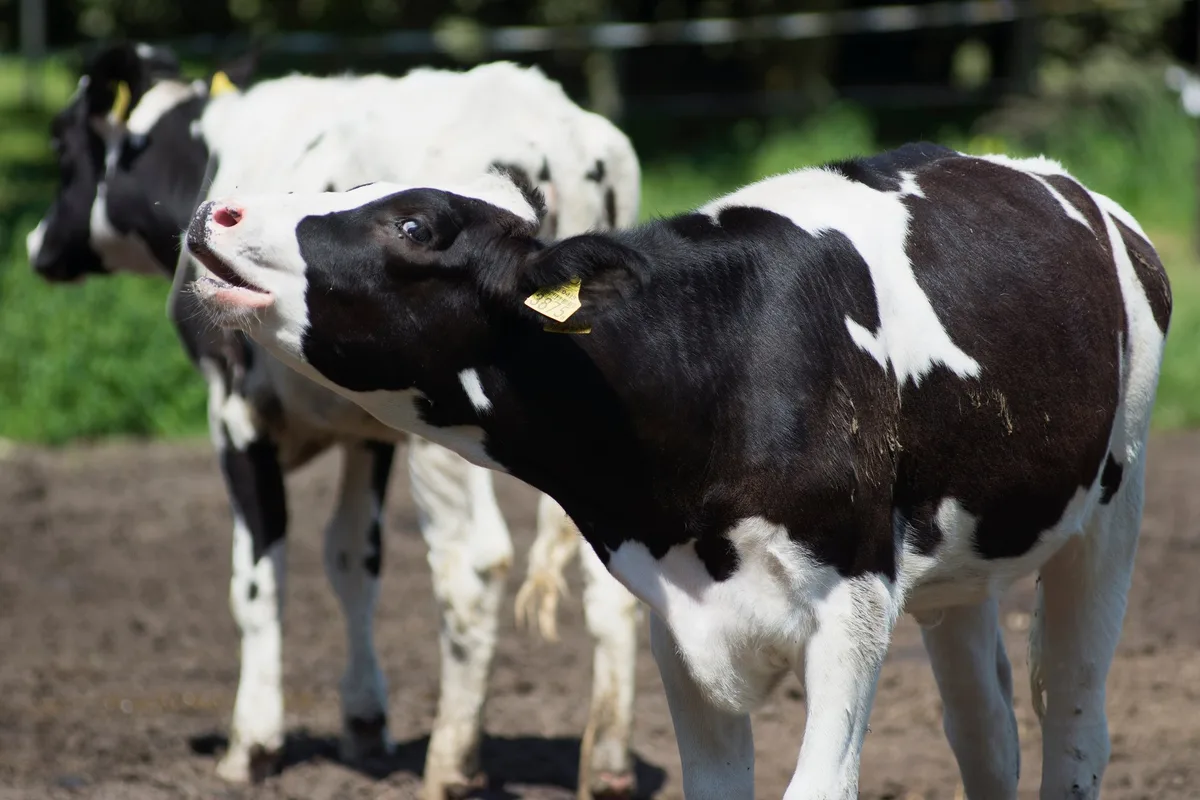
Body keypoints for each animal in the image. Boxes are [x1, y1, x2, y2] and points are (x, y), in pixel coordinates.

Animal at [29, 42, 644, 799]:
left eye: (61, 144)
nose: (36, 244)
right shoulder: (368, 430)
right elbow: (353, 559)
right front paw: (364, 721)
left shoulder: (234, 414)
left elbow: (257, 578)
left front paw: (251, 745)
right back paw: (607, 764)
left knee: (473, 567)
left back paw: (451, 762)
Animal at [181, 143, 1172, 799]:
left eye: (416, 225)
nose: (215, 212)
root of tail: (1068, 183)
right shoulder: (677, 614)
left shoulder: (850, 606)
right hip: (955, 575)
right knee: (986, 736)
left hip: (1110, 517)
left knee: (1074, 724)